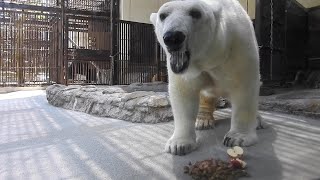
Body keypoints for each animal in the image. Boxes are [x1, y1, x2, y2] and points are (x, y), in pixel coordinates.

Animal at [150, 0, 260, 155]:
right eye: (163, 15)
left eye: (195, 13)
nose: (173, 37)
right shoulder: (185, 71)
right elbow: (183, 93)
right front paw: (178, 144)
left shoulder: (239, 48)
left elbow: (244, 87)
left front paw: (237, 137)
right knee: (206, 94)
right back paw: (203, 121)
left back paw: (258, 121)